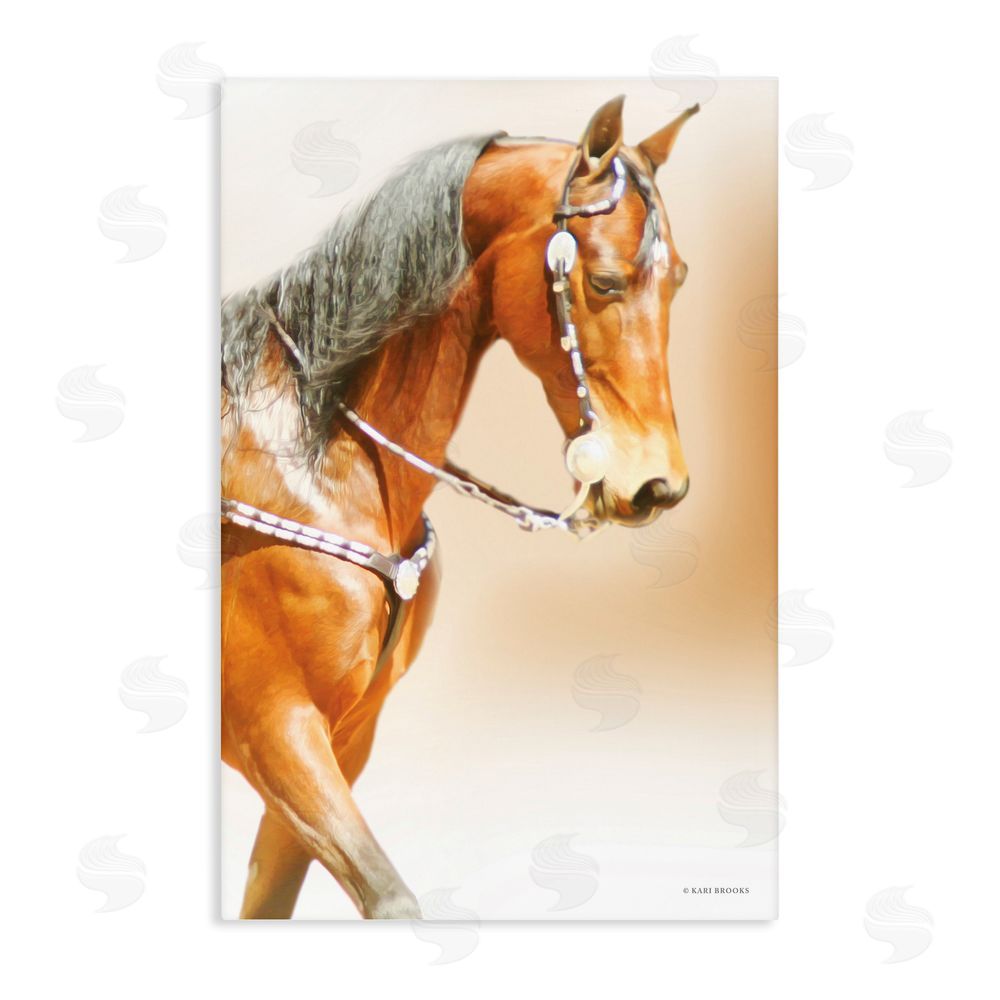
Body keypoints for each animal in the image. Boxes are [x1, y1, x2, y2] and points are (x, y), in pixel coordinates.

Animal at [221, 94, 698, 919]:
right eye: (604, 282)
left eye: (679, 281)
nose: (655, 484)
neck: (312, 453)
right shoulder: (274, 728)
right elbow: (391, 899)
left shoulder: (342, 738)